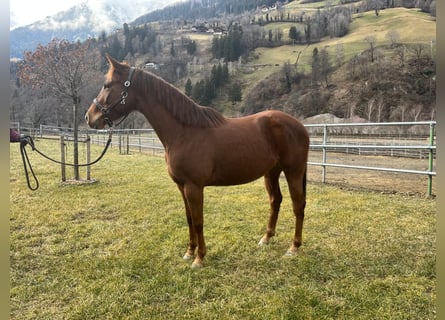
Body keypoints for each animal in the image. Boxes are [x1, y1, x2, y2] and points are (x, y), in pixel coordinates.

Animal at [86, 56, 308, 268]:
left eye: (107, 85)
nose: (90, 117)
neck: (185, 132)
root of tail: (298, 125)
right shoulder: (181, 186)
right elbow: (189, 219)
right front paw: (189, 252)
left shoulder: (194, 187)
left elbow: (199, 221)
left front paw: (199, 258)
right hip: (271, 173)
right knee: (275, 201)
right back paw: (266, 238)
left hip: (293, 172)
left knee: (298, 205)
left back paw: (294, 248)